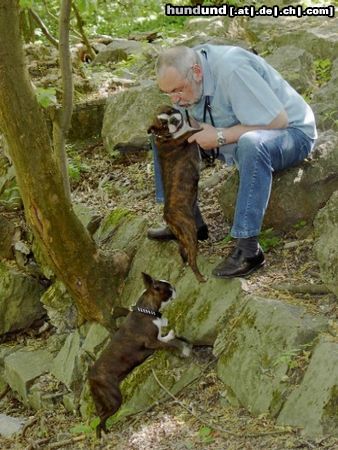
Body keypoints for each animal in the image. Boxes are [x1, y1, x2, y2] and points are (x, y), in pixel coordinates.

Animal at [88, 272, 190, 438]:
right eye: (168, 289)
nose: (174, 287)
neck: (147, 310)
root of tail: (90, 377)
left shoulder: (156, 338)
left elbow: (165, 337)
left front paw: (171, 335)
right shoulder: (151, 342)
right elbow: (170, 344)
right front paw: (183, 350)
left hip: (103, 401)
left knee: (100, 418)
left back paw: (106, 432)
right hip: (114, 399)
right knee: (101, 420)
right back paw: (104, 435)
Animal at [149, 105, 206, 282]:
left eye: (170, 111)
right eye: (163, 124)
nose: (173, 120)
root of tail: (167, 215)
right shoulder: (185, 138)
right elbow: (196, 131)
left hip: (183, 235)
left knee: (183, 252)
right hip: (190, 231)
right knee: (193, 260)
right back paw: (201, 277)